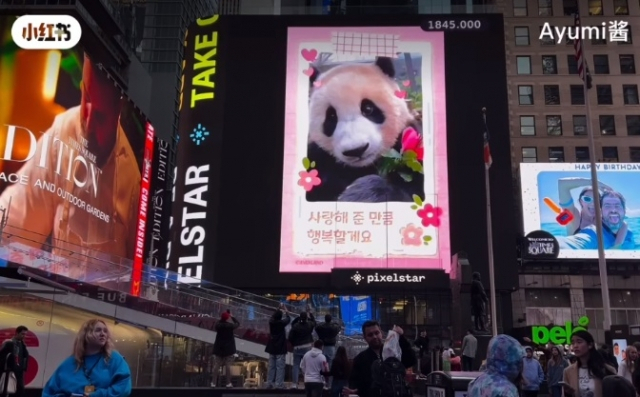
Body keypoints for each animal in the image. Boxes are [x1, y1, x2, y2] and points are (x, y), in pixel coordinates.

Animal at [304, 55, 424, 203]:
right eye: (331, 116)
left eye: (368, 108)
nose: (356, 150)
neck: (364, 167)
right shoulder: (319, 158)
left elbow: (412, 190)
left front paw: (358, 194)